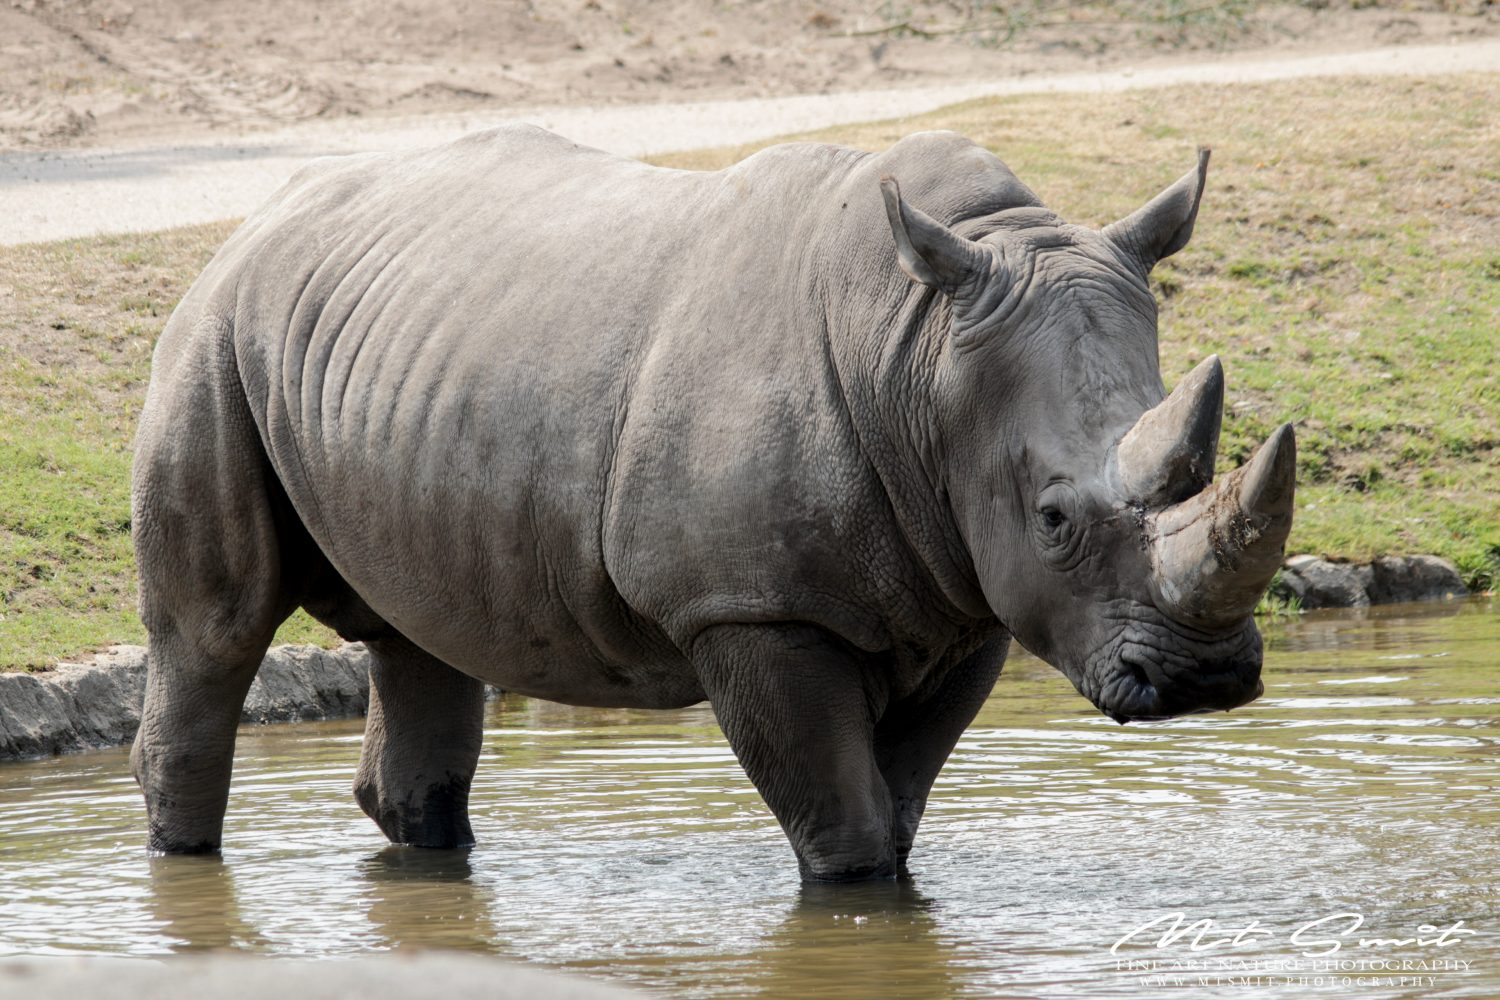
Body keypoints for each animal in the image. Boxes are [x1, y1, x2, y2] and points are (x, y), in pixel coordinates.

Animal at [130, 124, 1294, 881]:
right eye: (1053, 518)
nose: (1203, 678)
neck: (916, 351)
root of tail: (266, 215)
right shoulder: (748, 606)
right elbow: (848, 828)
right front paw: (852, 900)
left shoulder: (966, 597)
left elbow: (899, 808)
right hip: (214, 332)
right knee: (214, 631)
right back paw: (185, 857)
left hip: (394, 357)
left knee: (422, 631)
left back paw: (429, 860)